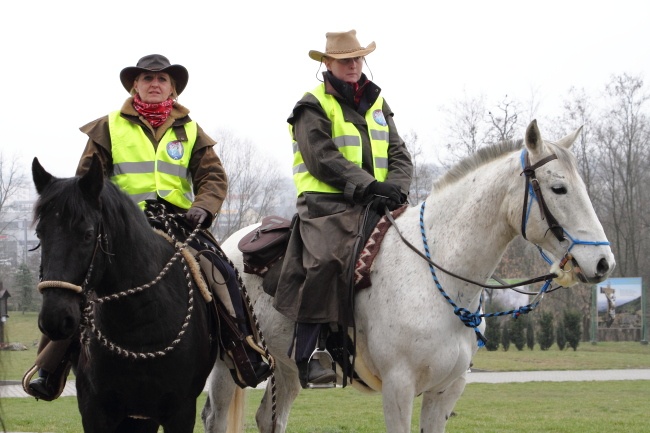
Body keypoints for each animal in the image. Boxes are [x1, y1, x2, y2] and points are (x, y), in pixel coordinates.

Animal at [32, 156, 220, 432]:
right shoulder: (94, 410)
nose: (55, 319)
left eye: (88, 234)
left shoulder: (181, 411)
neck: (141, 322)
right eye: (39, 233)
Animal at [201, 120, 612, 432]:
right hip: (230, 365)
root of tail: (231, 241)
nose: (603, 263)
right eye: (558, 188)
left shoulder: (445, 391)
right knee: (216, 419)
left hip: (286, 369)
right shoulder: (398, 388)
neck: (437, 278)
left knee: (269, 419)